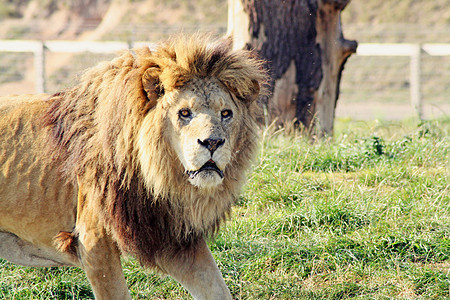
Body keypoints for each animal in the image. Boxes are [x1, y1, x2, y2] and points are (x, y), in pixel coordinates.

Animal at [0, 34, 268, 298]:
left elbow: (217, 288)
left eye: (226, 113)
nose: (212, 142)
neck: (158, 179)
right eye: (184, 113)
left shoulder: (174, 240)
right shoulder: (94, 243)